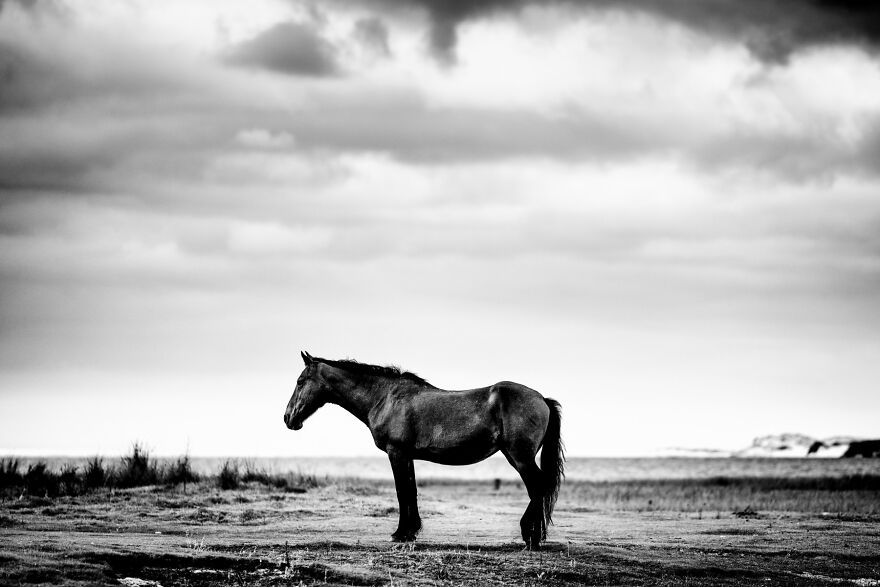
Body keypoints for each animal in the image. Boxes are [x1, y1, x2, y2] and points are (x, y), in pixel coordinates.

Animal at [283, 351, 565, 549]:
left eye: (300, 381)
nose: (288, 418)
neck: (384, 398)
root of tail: (541, 399)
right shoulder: (407, 456)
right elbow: (411, 491)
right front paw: (410, 532)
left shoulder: (396, 453)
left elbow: (402, 492)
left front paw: (400, 533)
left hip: (520, 457)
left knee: (537, 487)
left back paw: (530, 536)